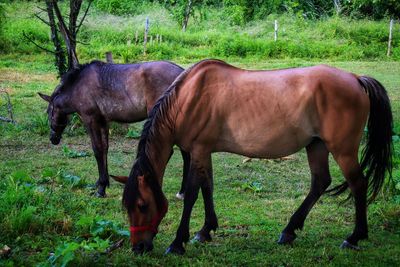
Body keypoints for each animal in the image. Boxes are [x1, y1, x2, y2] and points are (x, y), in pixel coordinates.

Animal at [38, 61, 190, 199]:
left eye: (49, 113)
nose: (53, 139)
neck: (78, 86)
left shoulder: (91, 121)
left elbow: (97, 150)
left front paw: (101, 189)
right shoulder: (104, 122)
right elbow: (105, 149)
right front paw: (102, 183)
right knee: (185, 154)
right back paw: (182, 192)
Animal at [114, 59, 392, 255]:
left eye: (142, 205)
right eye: (126, 206)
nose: (138, 247)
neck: (188, 98)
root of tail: (356, 78)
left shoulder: (198, 151)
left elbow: (192, 194)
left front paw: (177, 242)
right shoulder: (204, 152)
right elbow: (208, 187)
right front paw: (206, 230)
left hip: (342, 150)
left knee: (358, 184)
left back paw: (354, 237)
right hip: (317, 146)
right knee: (320, 182)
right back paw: (289, 231)